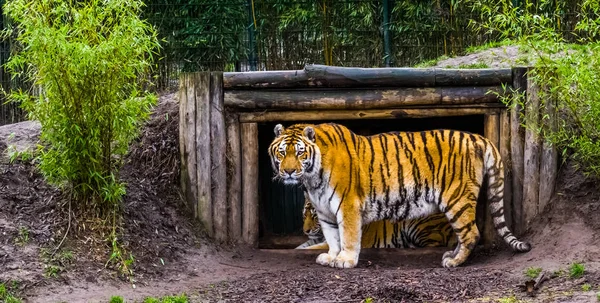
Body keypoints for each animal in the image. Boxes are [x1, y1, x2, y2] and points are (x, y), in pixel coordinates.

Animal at [270, 122, 532, 270]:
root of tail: (478, 137)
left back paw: (454, 262)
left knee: (471, 233)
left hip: (456, 198)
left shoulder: (348, 206)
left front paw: (346, 261)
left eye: (300, 153)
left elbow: (347, 237)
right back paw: (452, 255)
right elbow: (333, 238)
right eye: (282, 153)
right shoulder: (325, 212)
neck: (312, 179)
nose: (289, 171)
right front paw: (332, 257)